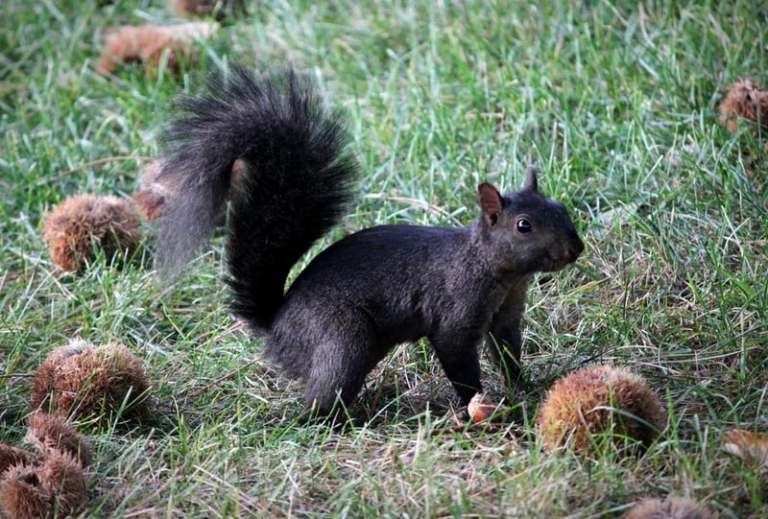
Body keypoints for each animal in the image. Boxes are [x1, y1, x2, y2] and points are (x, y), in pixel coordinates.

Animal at [159, 66, 584, 414]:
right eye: (524, 226)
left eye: (560, 207)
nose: (575, 249)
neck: (499, 272)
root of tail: (276, 326)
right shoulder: (455, 313)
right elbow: (457, 357)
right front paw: (474, 402)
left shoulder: (506, 317)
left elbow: (508, 354)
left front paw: (524, 387)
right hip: (343, 337)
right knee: (321, 398)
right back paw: (330, 419)